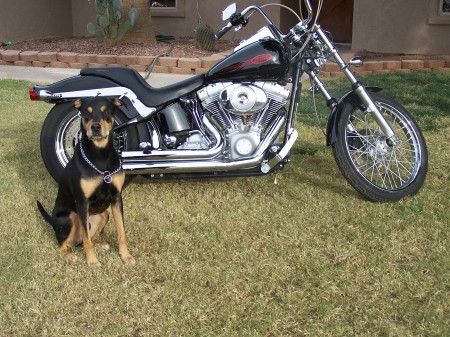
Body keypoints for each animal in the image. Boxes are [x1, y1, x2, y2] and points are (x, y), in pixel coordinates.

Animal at [36, 96, 135, 266]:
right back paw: (70, 255)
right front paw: (92, 261)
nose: (95, 127)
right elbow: (86, 238)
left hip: (103, 214)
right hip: (71, 217)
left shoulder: (117, 197)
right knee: (64, 244)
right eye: (86, 113)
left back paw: (101, 243)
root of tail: (53, 221)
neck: (100, 155)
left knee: (90, 236)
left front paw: (125, 256)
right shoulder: (82, 201)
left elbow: (121, 231)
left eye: (106, 112)